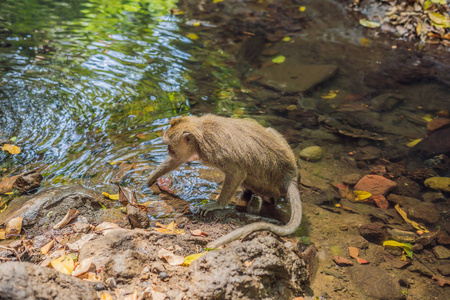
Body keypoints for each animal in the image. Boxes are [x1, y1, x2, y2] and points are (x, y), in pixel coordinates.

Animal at [147, 113, 302, 247]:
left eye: (170, 144)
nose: (168, 150)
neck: (201, 129)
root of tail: (290, 174)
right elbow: (178, 159)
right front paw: (150, 179)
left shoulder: (213, 151)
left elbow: (236, 171)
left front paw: (217, 204)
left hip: (266, 182)